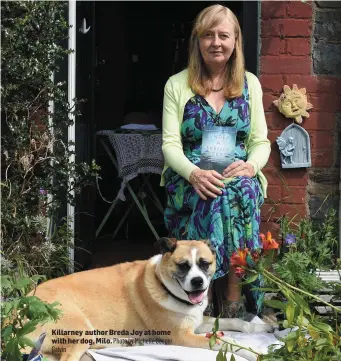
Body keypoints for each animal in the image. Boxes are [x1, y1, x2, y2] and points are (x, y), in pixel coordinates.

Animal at [25, 238, 272, 360]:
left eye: (204, 263)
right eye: (183, 266)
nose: (198, 282)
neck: (163, 284)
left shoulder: (198, 322)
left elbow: (236, 322)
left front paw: (261, 329)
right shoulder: (183, 337)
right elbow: (227, 341)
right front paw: (258, 352)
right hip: (79, 328)